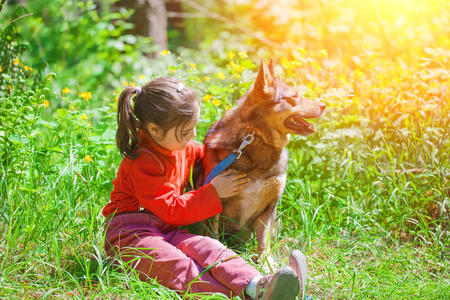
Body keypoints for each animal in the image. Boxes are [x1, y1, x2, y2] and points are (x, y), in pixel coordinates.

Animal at [199, 58, 326, 258]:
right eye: (295, 96)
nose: (324, 106)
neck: (257, 137)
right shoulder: (215, 202)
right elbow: (214, 236)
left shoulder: (269, 208)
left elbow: (264, 243)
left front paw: (267, 262)